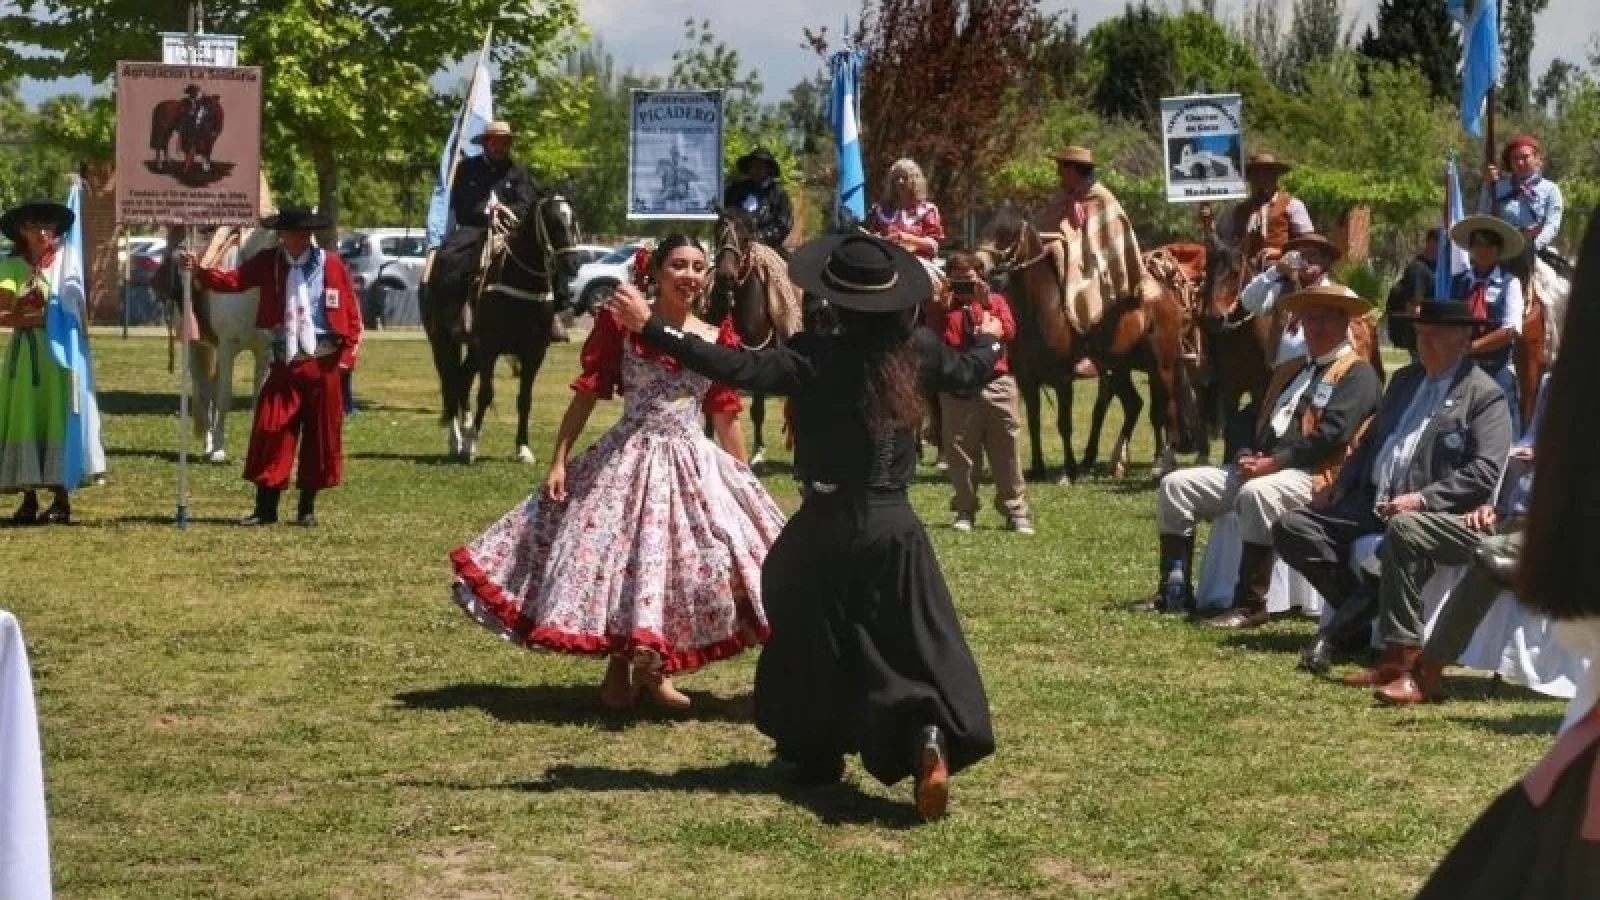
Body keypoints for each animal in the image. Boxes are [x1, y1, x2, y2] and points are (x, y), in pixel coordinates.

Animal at [421, 194, 581, 463]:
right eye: (553, 222)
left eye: (574, 221)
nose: (573, 263)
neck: (520, 282)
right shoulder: (490, 348)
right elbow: (486, 393)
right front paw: (472, 446)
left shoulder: (534, 353)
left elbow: (525, 399)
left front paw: (523, 448)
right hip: (442, 342)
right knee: (450, 383)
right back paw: (457, 441)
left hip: (473, 350)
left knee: (462, 380)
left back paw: (465, 429)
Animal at [706, 209, 802, 466]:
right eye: (717, 233)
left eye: (746, 238)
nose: (726, 276)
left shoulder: (760, 356)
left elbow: (757, 409)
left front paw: (758, 452)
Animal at [978, 209, 1198, 484]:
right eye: (986, 227)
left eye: (1007, 232)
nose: (979, 264)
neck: (1039, 309)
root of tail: (1165, 295)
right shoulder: (1028, 381)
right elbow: (1034, 422)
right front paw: (1038, 468)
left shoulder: (1062, 380)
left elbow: (1064, 424)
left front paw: (1068, 470)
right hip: (1120, 370)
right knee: (1135, 405)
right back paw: (1114, 462)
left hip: (1161, 367)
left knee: (1165, 407)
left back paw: (1160, 462)